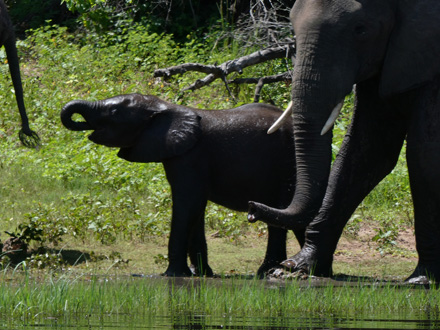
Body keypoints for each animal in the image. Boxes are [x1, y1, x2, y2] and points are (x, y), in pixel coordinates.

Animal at [61, 93, 302, 276]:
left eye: (113, 112)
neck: (166, 107)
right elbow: (196, 210)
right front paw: (201, 274)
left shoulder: (191, 156)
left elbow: (187, 204)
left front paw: (174, 274)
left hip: (287, 164)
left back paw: (270, 272)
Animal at [248, 0, 440, 282]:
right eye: (292, 27)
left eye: (361, 30)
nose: (251, 208)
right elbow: (366, 153)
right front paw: (293, 269)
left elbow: (424, 156)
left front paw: (423, 278)